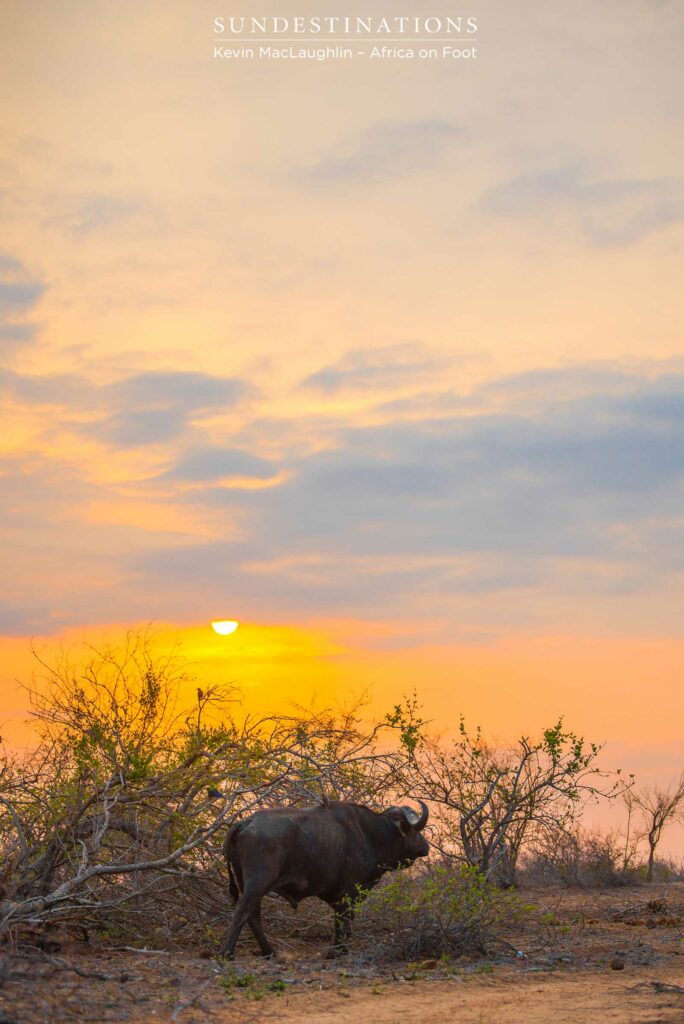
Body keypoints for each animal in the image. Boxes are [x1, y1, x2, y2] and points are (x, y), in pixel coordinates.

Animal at [223, 799, 429, 959]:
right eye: (415, 832)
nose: (426, 847)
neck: (372, 834)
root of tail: (245, 823)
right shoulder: (349, 890)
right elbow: (342, 920)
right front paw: (338, 951)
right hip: (257, 883)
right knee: (243, 911)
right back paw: (228, 953)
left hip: (245, 882)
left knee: (253, 915)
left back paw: (268, 952)